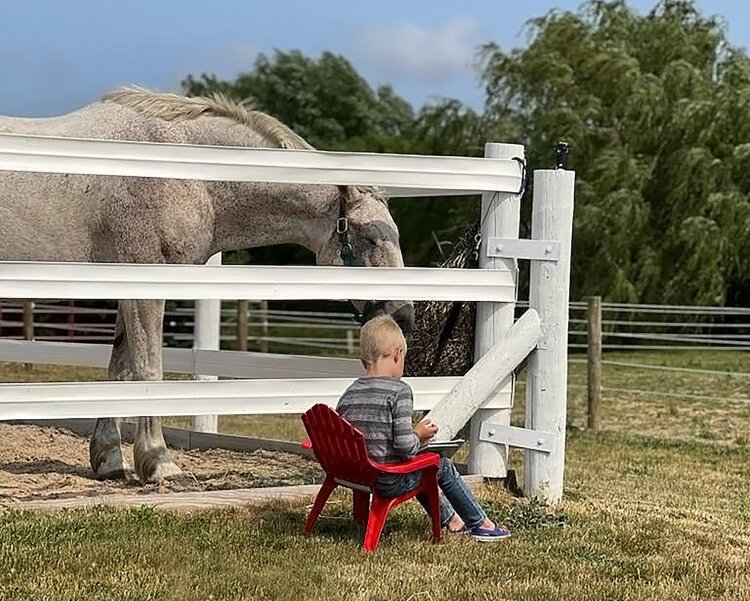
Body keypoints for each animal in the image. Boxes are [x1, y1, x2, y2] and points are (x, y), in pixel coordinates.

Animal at [0, 86, 418, 482]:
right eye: (369, 237)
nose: (405, 317)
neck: (187, 173)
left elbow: (119, 369)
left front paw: (110, 460)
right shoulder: (147, 285)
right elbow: (148, 369)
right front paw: (159, 462)